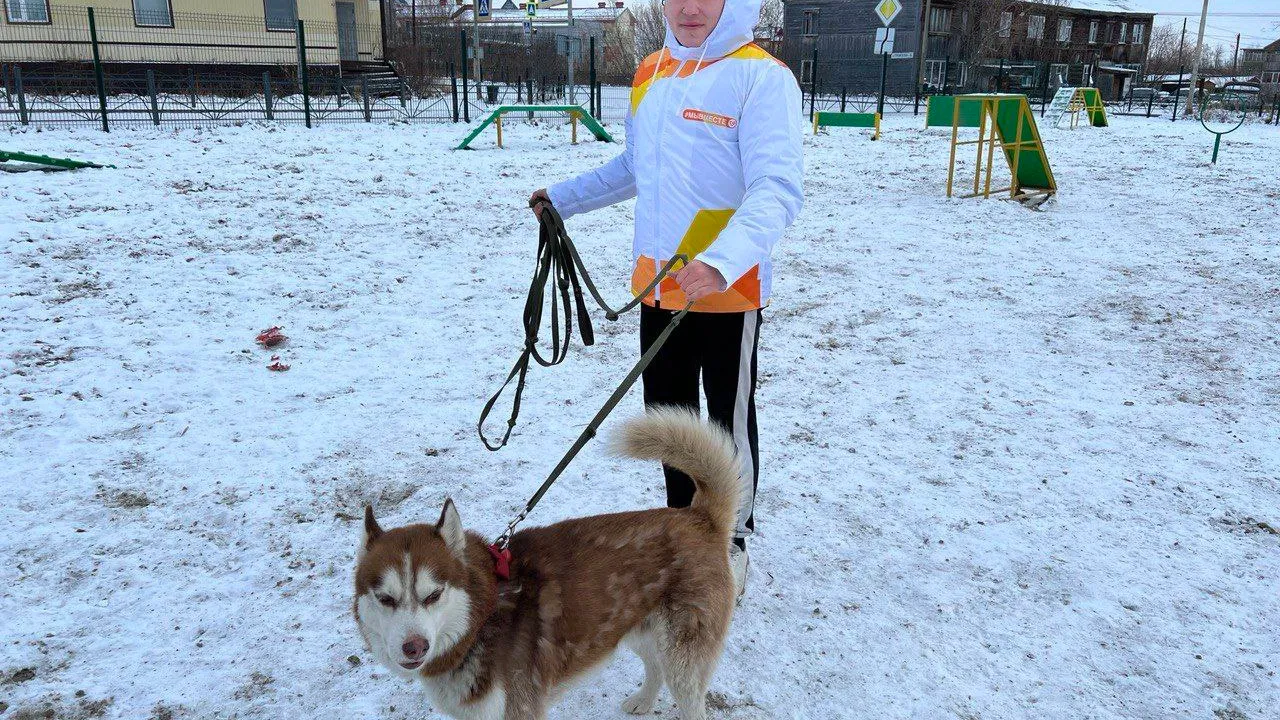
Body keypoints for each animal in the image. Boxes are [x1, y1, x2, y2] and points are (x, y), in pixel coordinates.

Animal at [355, 409, 747, 717]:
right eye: (385, 599)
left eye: (433, 595)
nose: (414, 646)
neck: (482, 618)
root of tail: (699, 518)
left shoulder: (519, 709)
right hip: (640, 627)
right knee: (656, 667)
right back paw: (643, 701)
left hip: (684, 658)